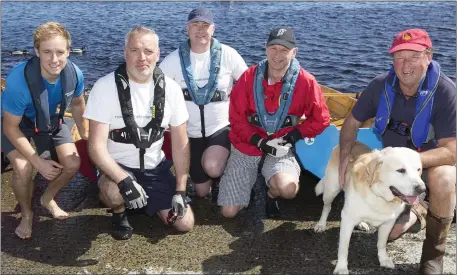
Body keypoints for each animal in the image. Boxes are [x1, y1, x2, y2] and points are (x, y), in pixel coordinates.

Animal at [314, 141, 424, 274]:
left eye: (418, 169)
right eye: (401, 170)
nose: (422, 189)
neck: (379, 196)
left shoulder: (388, 223)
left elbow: (382, 244)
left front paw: (383, 259)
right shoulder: (347, 220)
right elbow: (343, 248)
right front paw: (341, 267)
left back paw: (361, 223)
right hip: (331, 190)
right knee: (326, 207)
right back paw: (321, 224)